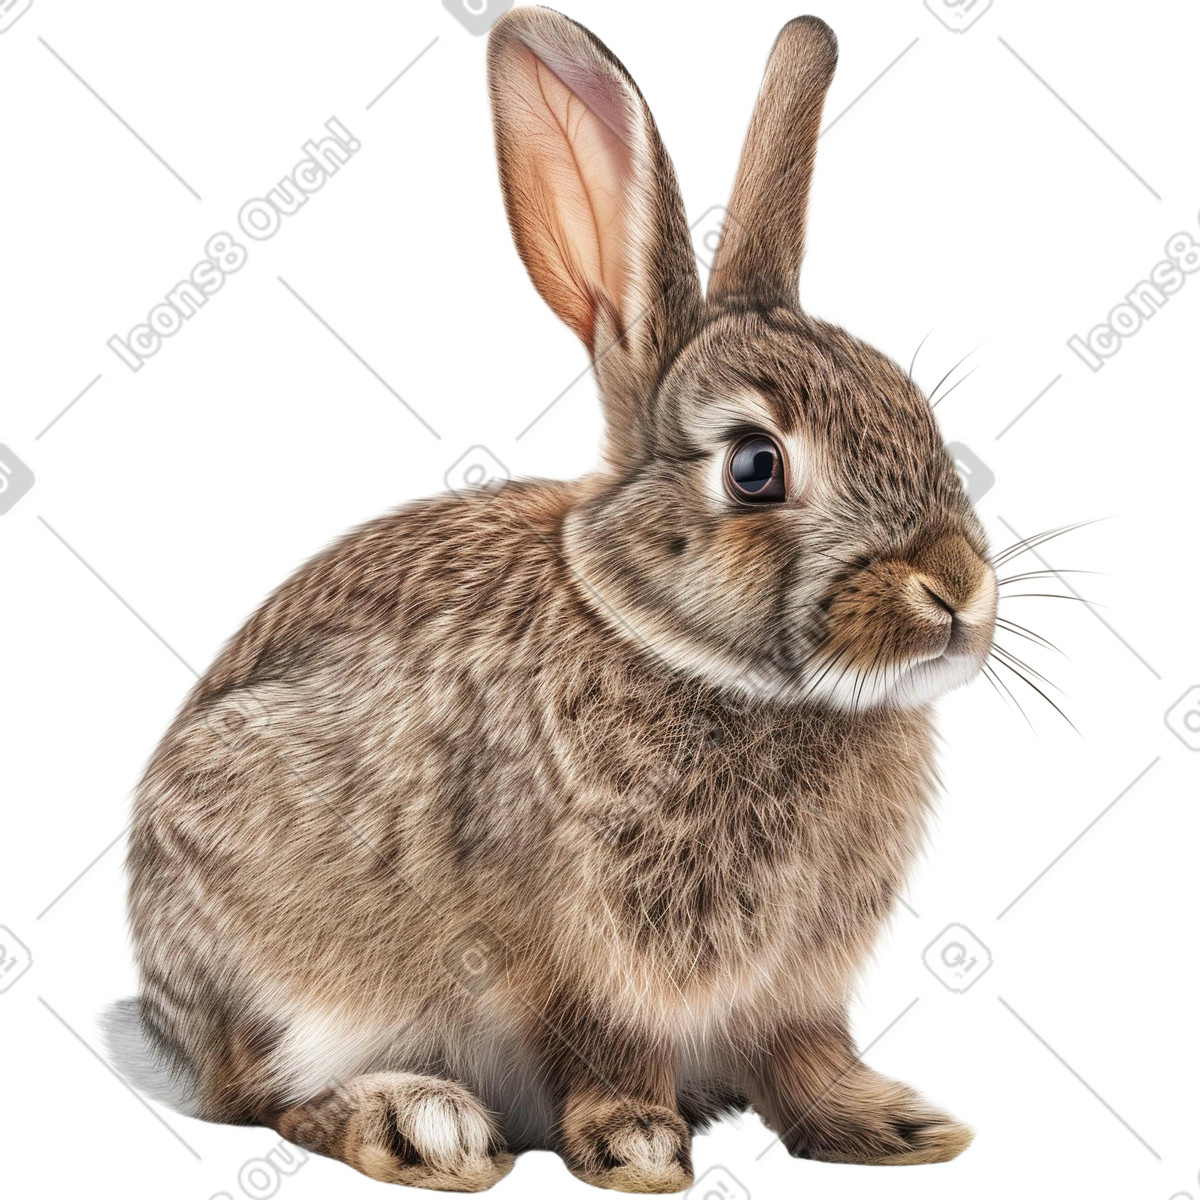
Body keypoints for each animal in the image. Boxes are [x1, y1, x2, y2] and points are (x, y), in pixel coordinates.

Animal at [106, 7, 998, 1194]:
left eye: (917, 414)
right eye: (755, 466)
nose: (958, 589)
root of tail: (166, 1029)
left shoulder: (794, 989)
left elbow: (807, 1056)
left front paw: (894, 1127)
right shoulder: (578, 958)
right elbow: (604, 1046)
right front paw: (640, 1145)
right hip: (272, 960)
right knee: (264, 1095)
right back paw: (418, 1123)